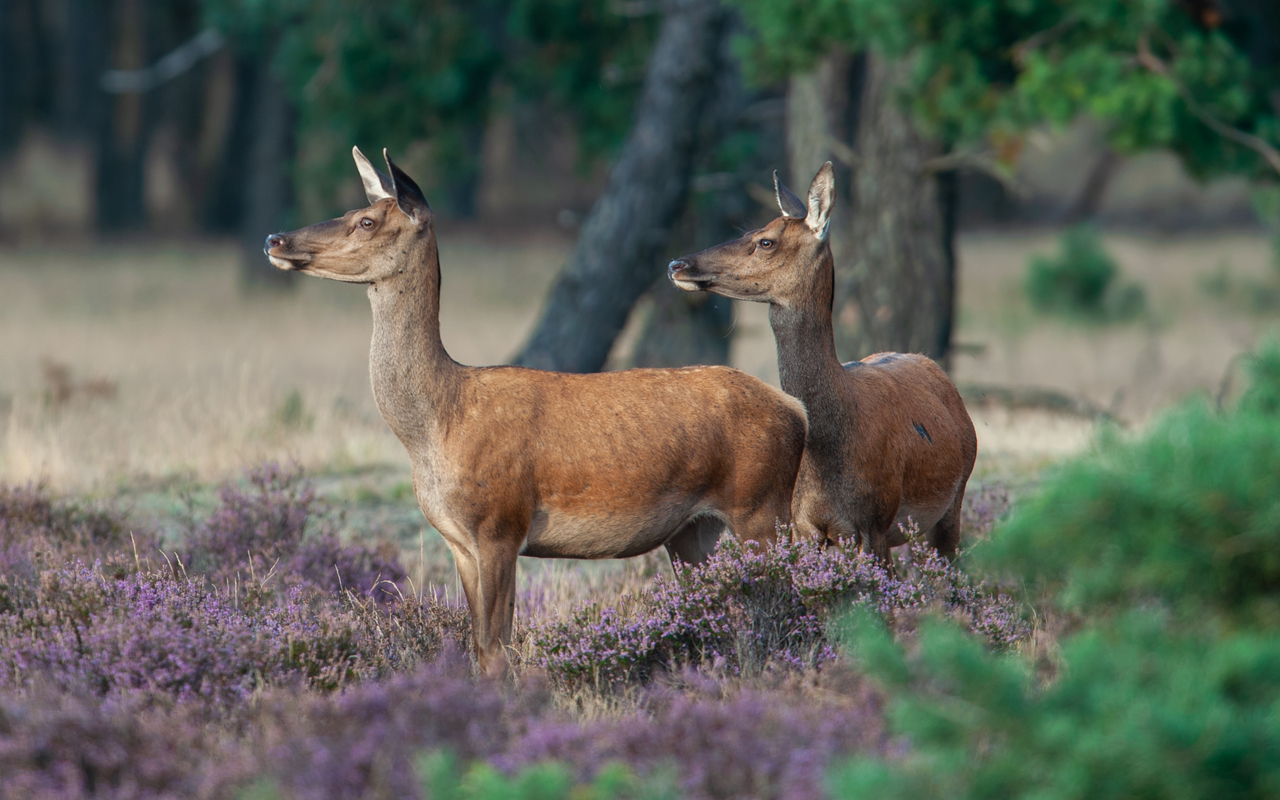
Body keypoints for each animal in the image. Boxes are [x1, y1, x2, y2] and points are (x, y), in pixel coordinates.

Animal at [263, 146, 803, 670]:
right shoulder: (459, 542)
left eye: (367, 221)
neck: (437, 425)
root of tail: (795, 409)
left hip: (761, 506)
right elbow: (480, 646)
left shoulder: (501, 523)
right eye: (352, 211)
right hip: (694, 529)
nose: (275, 237)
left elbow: (497, 647)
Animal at [665, 160, 972, 560]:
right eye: (748, 229)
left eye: (766, 241)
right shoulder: (804, 526)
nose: (677, 263)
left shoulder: (876, 522)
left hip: (955, 501)